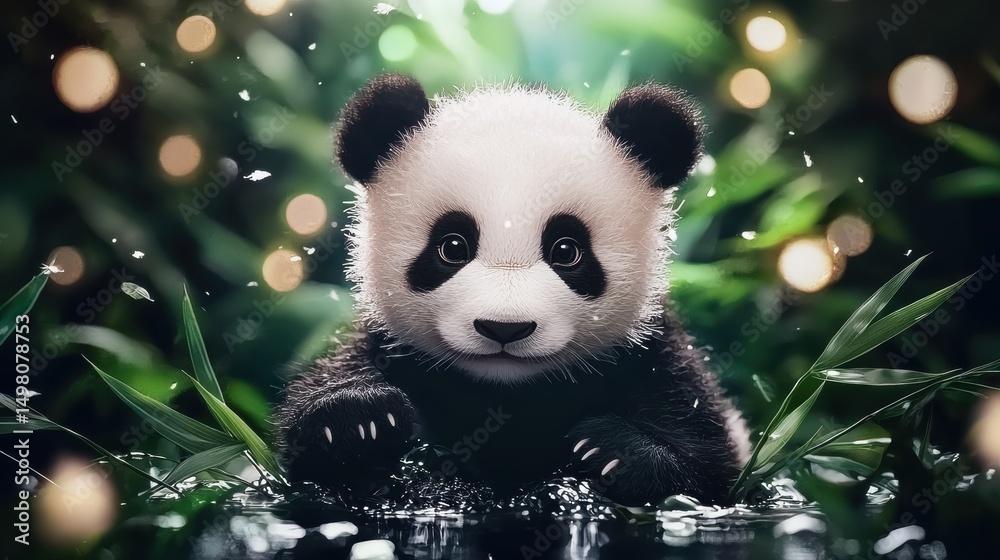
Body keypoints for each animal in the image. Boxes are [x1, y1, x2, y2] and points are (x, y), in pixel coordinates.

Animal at [275, 73, 750, 507]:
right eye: (452, 247)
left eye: (567, 251)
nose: (504, 328)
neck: (505, 394)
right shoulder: (389, 348)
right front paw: (356, 420)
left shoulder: (651, 358)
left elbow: (705, 464)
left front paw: (613, 452)